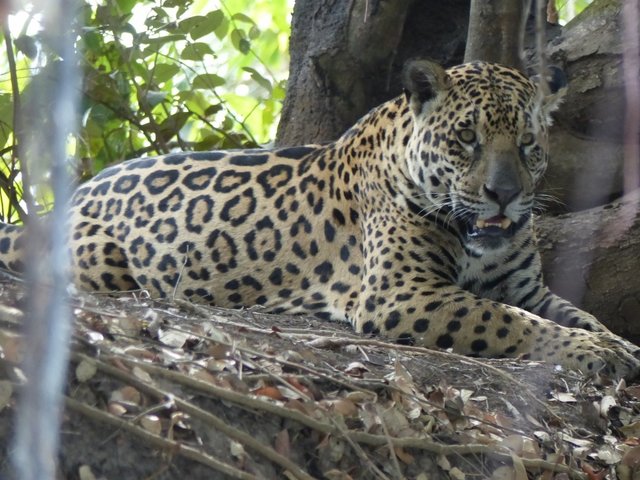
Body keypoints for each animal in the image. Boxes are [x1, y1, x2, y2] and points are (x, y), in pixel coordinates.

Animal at [1, 60, 638, 379]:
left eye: (529, 144)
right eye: (466, 138)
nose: (504, 196)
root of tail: (73, 196)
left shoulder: (526, 288)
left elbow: (574, 313)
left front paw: (616, 344)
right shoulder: (401, 294)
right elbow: (504, 320)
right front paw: (597, 354)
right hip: (103, 260)